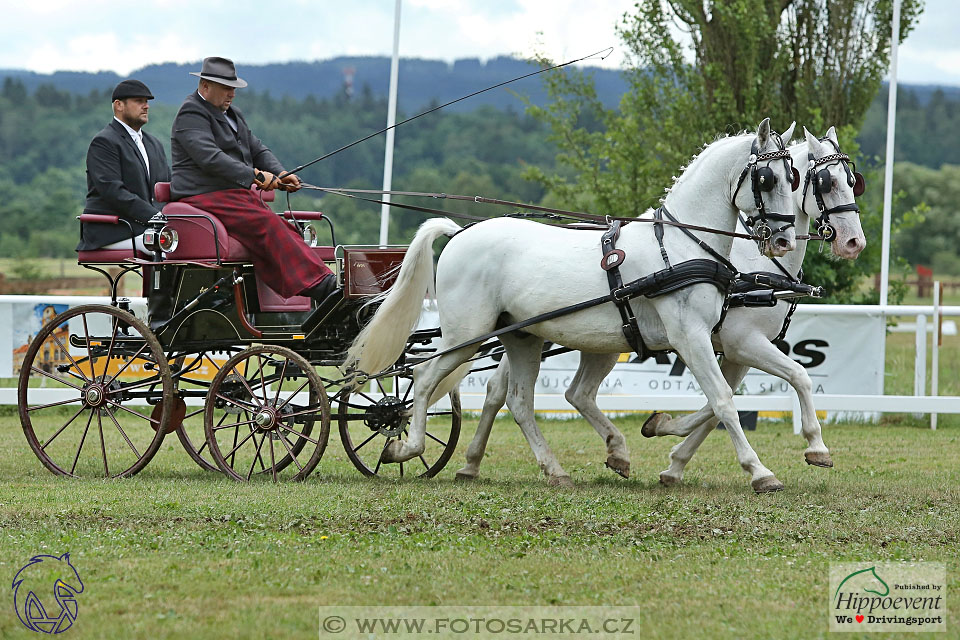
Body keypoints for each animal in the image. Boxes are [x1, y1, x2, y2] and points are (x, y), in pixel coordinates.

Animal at [348, 119, 800, 490]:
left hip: (522, 337)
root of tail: (459, 233)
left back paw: (556, 469)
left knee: (518, 400)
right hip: (467, 334)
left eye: (793, 178)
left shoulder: (711, 338)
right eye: (766, 177)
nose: (784, 240)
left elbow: (718, 400)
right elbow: (723, 400)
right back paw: (406, 447)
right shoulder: (689, 336)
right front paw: (760, 472)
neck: (679, 245)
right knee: (424, 377)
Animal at [454, 124, 868, 484]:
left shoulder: (735, 351)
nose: (854, 242)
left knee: (540, 393)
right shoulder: (736, 342)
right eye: (823, 182)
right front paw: (809, 449)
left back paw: (481, 462)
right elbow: (771, 385)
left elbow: (721, 404)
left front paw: (671, 451)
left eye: (853, 181)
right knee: (515, 392)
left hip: (573, 337)